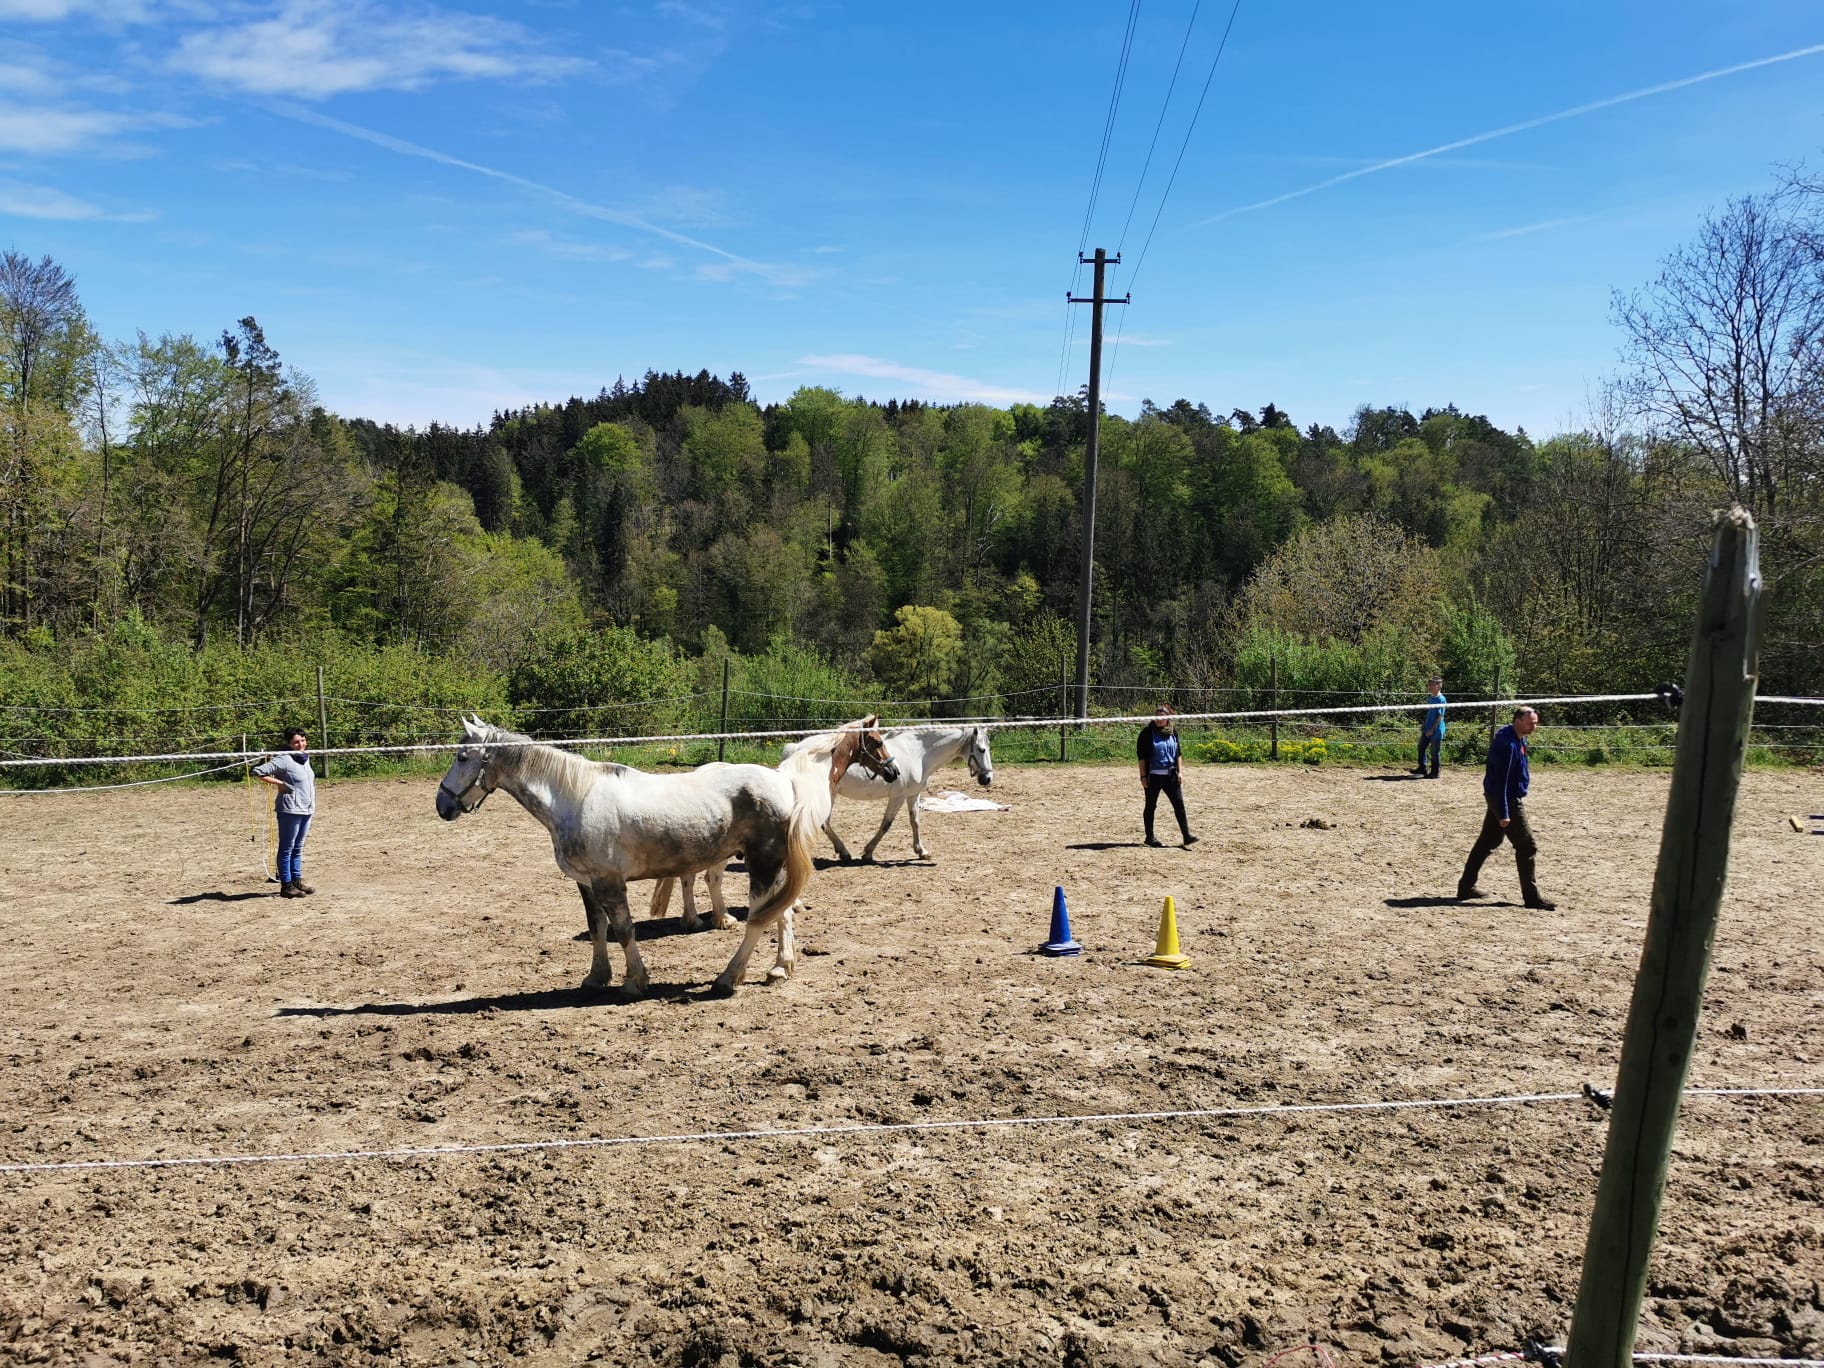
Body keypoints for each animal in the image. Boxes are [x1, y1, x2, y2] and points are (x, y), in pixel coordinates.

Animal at [439, 718, 897, 999]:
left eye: (462, 756)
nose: (442, 805)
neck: (575, 798)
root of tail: (785, 782)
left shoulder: (610, 882)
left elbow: (624, 930)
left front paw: (634, 982)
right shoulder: (586, 883)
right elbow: (598, 929)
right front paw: (596, 978)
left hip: (762, 863)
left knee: (758, 919)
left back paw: (728, 979)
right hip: (775, 865)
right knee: (780, 914)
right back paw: (780, 968)